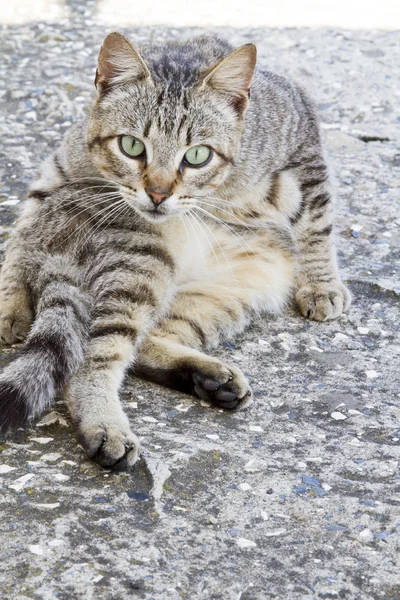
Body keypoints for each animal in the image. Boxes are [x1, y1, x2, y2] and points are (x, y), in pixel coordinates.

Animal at [0, 32, 350, 472]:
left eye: (198, 154)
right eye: (132, 146)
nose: (158, 194)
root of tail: (56, 259)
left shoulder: (304, 146)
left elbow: (317, 223)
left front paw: (322, 284)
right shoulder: (63, 166)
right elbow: (21, 228)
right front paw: (10, 299)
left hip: (225, 293)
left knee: (145, 344)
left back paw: (210, 378)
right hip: (141, 264)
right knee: (92, 361)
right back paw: (106, 424)